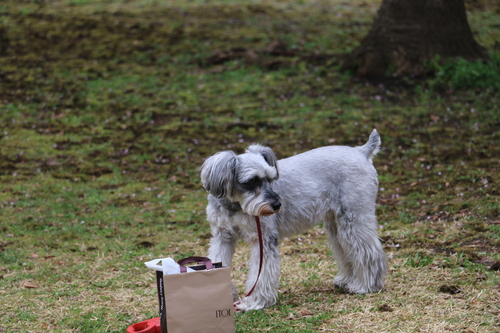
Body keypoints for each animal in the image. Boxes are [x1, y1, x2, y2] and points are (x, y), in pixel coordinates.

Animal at [201, 129, 388, 308]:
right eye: (252, 181)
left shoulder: (263, 240)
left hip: (353, 219)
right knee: (346, 250)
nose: (277, 205)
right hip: (336, 225)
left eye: (270, 179)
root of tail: (360, 151)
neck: (235, 205)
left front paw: (254, 302)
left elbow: (260, 275)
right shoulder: (222, 237)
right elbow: (218, 260)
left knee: (369, 251)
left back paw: (366, 286)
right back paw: (347, 281)